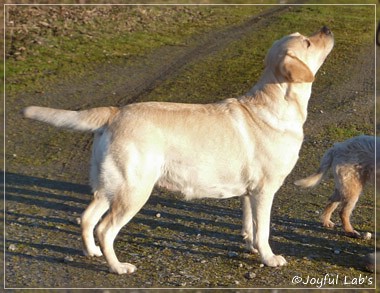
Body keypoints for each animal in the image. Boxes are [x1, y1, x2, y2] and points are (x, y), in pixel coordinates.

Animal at [23, 26, 332, 272]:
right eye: (307, 42)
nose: (326, 29)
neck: (277, 103)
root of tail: (114, 112)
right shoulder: (265, 190)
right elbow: (264, 229)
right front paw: (269, 258)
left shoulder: (250, 192)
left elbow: (250, 226)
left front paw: (252, 247)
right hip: (134, 190)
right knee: (105, 228)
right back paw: (118, 267)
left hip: (110, 186)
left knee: (87, 219)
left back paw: (93, 252)